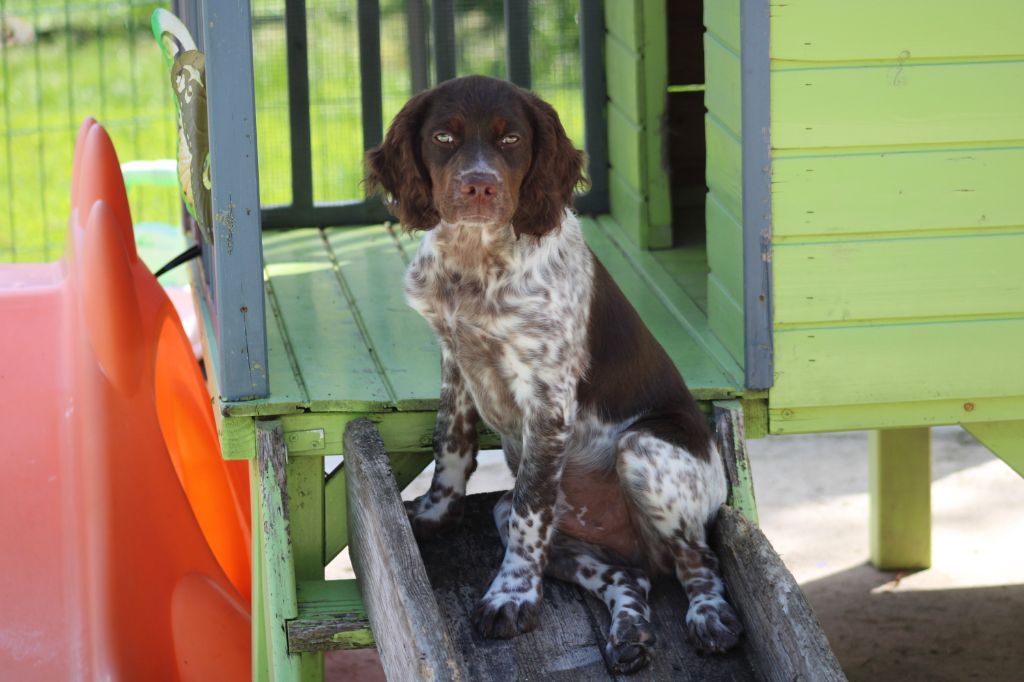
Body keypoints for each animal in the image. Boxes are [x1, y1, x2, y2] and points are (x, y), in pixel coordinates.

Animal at [364, 74, 741, 667]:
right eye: (444, 137)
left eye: (512, 139)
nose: (478, 187)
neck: (476, 261)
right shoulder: (455, 358)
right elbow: (451, 441)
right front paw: (433, 515)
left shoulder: (547, 401)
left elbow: (531, 510)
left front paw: (511, 597)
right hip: (570, 537)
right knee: (631, 578)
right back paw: (629, 633)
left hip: (645, 450)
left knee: (699, 562)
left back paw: (709, 618)